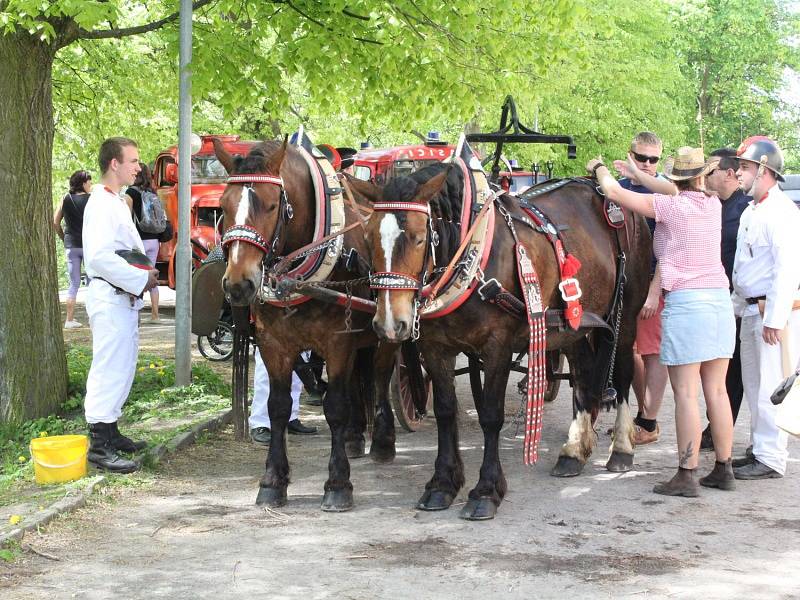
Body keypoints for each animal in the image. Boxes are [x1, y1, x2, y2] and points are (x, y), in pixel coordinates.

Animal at [214, 137, 398, 510]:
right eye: (223, 206)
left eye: (272, 206)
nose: (239, 284)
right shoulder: (274, 344)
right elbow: (278, 408)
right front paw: (273, 480)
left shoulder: (338, 341)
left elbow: (336, 407)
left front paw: (338, 484)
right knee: (359, 381)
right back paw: (356, 436)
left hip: (384, 331)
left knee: (381, 377)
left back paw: (383, 440)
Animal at [350, 163, 648, 520]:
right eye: (368, 239)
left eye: (419, 238)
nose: (390, 323)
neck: (471, 254)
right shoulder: (435, 348)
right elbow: (445, 411)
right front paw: (442, 484)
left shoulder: (497, 348)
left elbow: (491, 415)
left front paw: (486, 490)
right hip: (572, 324)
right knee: (583, 373)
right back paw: (574, 451)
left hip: (626, 316)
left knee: (624, 371)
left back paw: (622, 449)